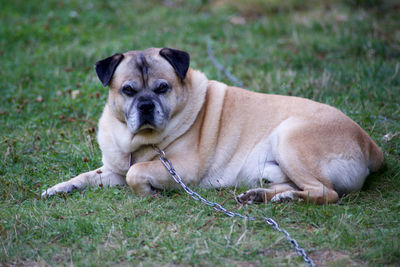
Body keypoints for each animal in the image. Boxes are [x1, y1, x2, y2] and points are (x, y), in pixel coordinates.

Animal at [41, 47, 384, 205]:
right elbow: (88, 176)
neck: (137, 142)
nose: (146, 104)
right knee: (298, 186)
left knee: (326, 193)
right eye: (128, 90)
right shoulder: (112, 169)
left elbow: (135, 173)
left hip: (290, 140)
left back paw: (287, 199)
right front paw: (59, 188)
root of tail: (371, 148)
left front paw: (148, 192)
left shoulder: (180, 169)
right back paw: (262, 195)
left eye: (162, 88)